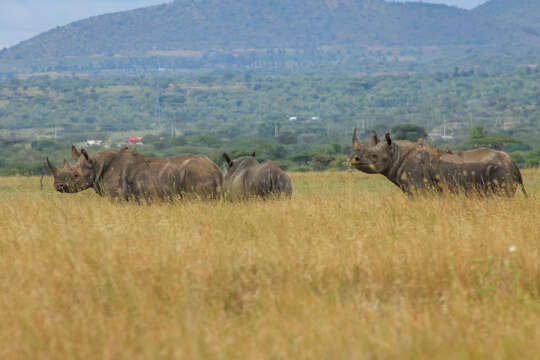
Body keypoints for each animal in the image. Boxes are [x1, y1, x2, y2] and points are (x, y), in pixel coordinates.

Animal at [47, 147, 223, 202]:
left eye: (75, 176)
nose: (57, 186)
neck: (95, 165)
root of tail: (216, 169)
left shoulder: (116, 198)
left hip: (198, 174)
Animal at [348, 129, 524, 197]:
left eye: (374, 156)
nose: (353, 159)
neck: (395, 152)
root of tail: (514, 164)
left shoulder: (420, 188)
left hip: (501, 171)